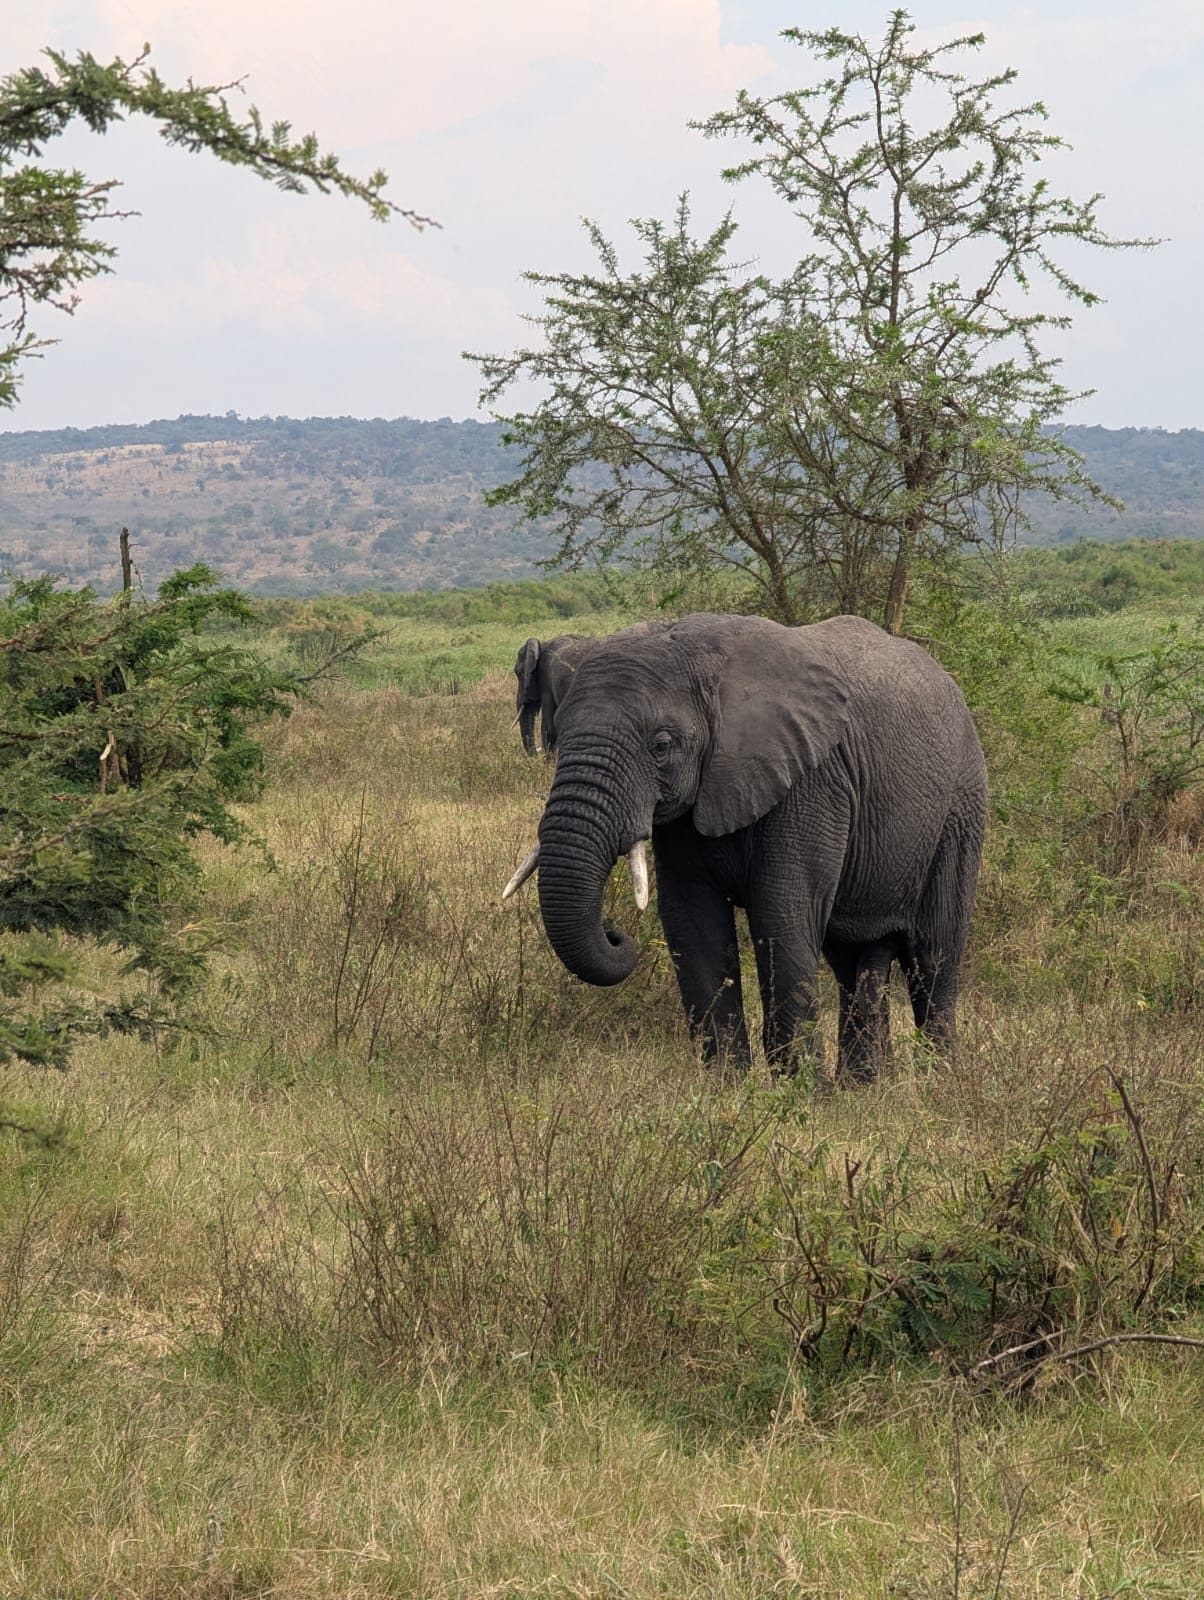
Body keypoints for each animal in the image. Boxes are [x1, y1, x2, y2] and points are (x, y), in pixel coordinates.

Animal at [504, 612, 987, 1080]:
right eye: (561, 735)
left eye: (661, 745)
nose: (614, 933)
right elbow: (692, 919)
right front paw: (728, 1089)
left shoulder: (811, 782)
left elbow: (782, 915)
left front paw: (800, 1092)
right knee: (856, 955)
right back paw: (866, 1087)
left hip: (960, 807)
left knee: (934, 953)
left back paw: (940, 1082)